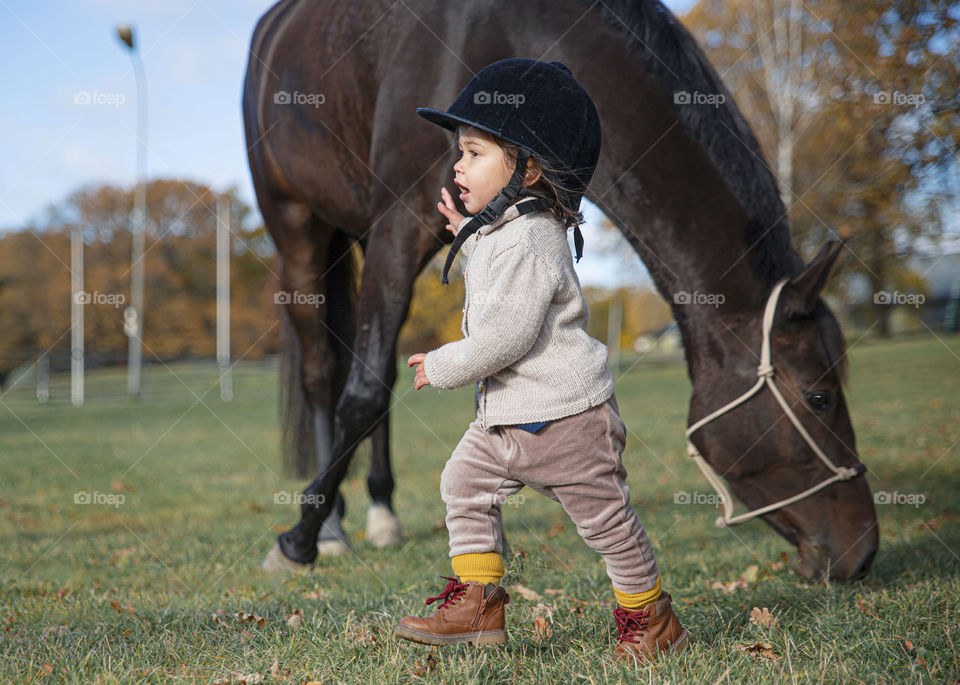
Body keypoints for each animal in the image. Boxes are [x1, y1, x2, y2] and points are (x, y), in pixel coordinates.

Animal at [242, 0, 876, 576]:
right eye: (819, 397)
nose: (862, 550)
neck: (497, 28)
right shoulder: (398, 222)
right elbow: (364, 392)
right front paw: (296, 541)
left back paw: (380, 511)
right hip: (298, 229)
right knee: (324, 372)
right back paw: (329, 529)